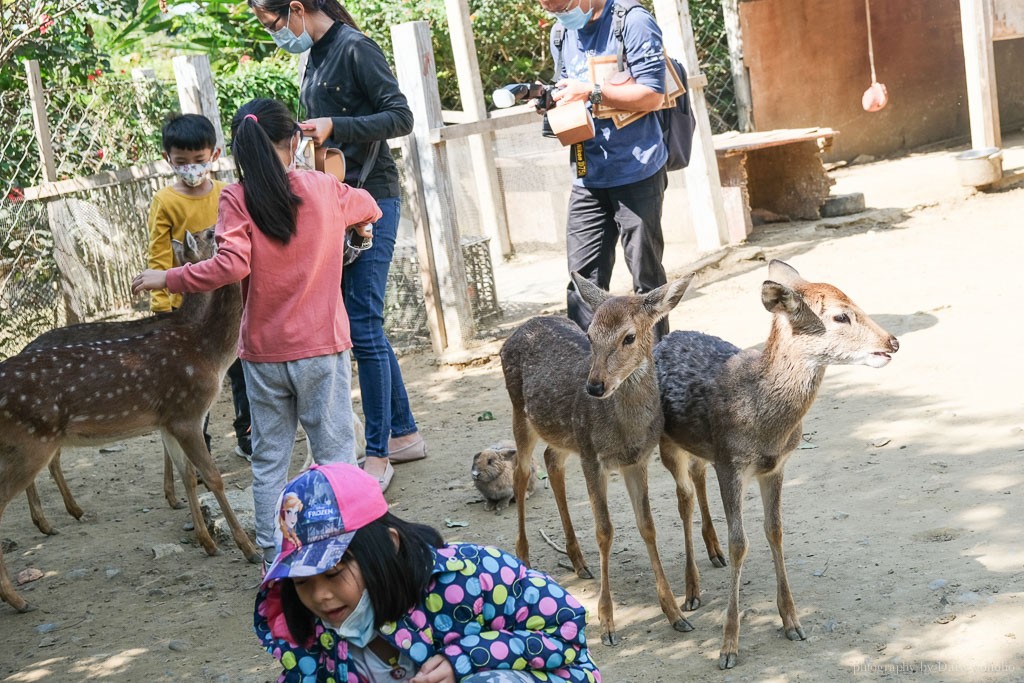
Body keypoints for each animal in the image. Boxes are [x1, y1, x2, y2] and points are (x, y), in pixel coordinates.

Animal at [19, 225, 218, 532]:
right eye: (207, 234)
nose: (217, 228)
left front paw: (171, 497)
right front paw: (174, 498)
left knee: (51, 462)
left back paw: (70, 512)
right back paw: (47, 522)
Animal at [503, 270, 696, 647]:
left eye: (629, 337)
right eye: (590, 335)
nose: (594, 386)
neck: (625, 432)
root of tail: (518, 329)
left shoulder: (637, 460)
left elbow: (647, 526)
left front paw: (675, 613)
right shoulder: (592, 457)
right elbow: (605, 530)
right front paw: (607, 623)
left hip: (564, 435)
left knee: (551, 460)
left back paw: (578, 561)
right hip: (522, 414)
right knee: (520, 472)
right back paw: (524, 558)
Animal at [655, 259, 897, 671]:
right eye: (840, 315)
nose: (892, 341)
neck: (765, 421)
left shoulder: (776, 465)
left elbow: (776, 530)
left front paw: (793, 622)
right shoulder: (731, 463)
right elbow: (741, 542)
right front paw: (728, 647)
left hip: (700, 449)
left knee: (697, 480)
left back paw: (713, 553)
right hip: (666, 443)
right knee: (682, 500)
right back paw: (691, 591)